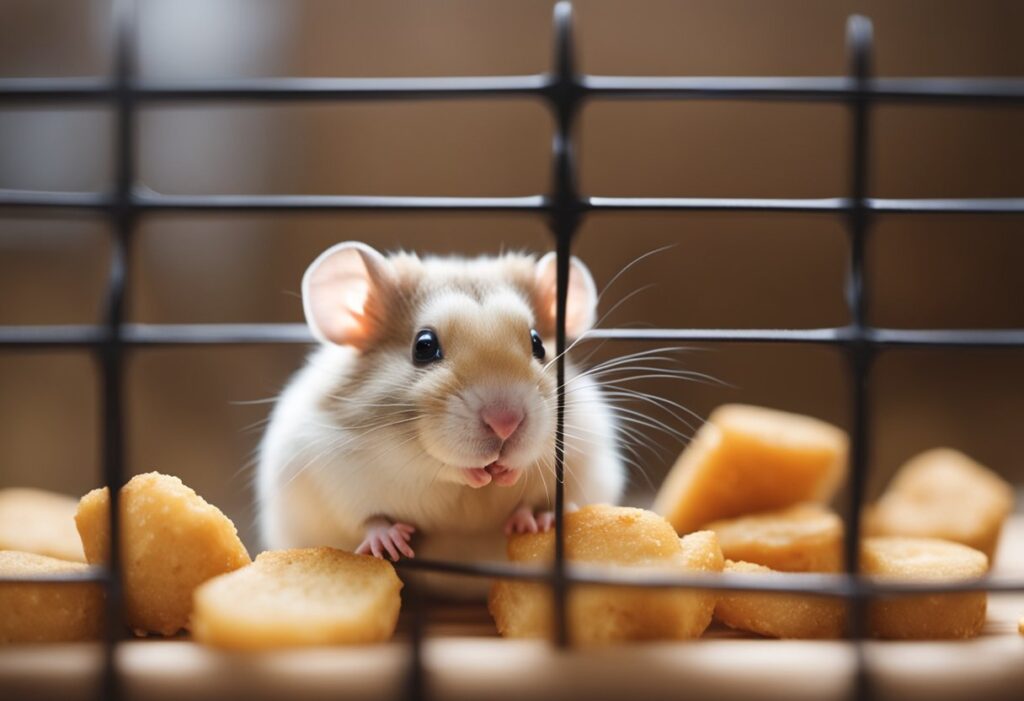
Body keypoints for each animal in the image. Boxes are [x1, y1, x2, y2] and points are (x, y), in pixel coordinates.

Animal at [256, 241, 625, 596]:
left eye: (538, 344)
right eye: (424, 346)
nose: (505, 423)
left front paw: (531, 514)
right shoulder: (327, 469)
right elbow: (374, 512)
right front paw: (394, 540)